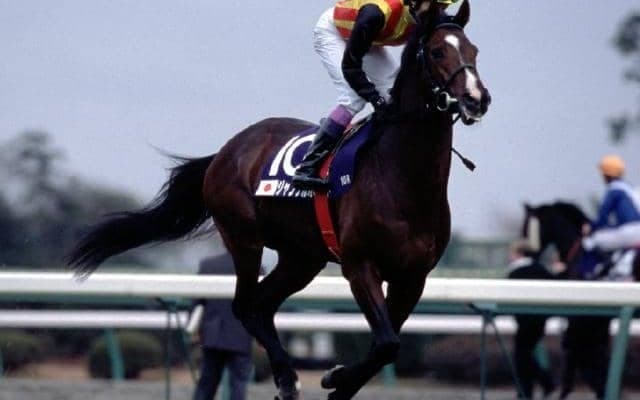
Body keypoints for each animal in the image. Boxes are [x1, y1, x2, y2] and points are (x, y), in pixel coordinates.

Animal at [67, 2, 490, 399]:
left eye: (473, 50)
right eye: (437, 51)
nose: (477, 99)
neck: (402, 179)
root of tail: (226, 150)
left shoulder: (412, 276)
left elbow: (384, 347)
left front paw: (338, 380)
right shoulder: (359, 264)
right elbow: (386, 344)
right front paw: (334, 378)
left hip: (302, 257)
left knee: (263, 304)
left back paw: (288, 378)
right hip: (245, 238)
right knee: (244, 306)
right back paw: (287, 378)